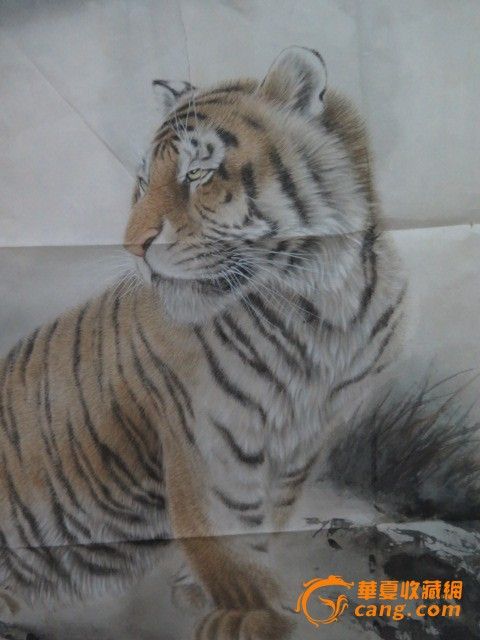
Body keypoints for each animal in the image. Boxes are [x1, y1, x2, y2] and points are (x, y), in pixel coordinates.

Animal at [0, 47, 406, 639]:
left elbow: (266, 523)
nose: (133, 246)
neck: (323, 307)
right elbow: (225, 537)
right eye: (142, 180)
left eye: (198, 173)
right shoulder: (206, 437)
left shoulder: (306, 439)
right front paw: (250, 614)